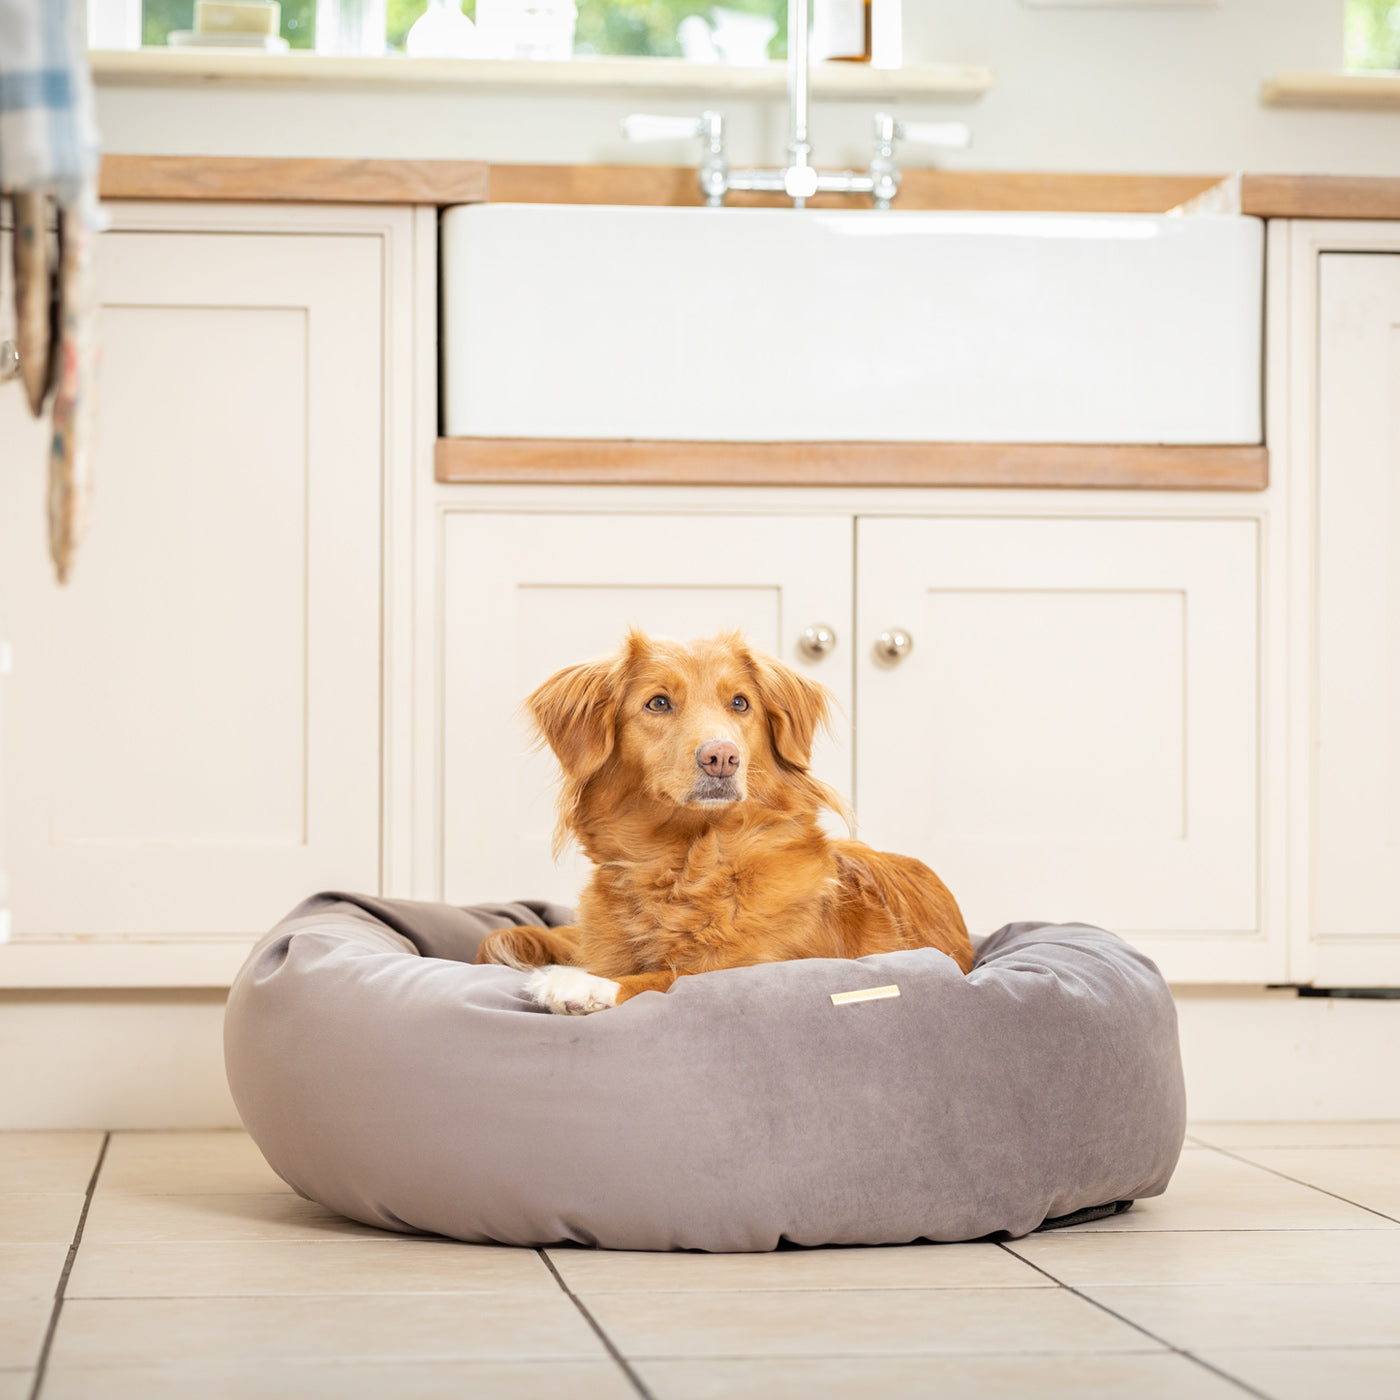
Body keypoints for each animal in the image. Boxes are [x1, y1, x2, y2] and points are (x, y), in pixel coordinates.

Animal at [476, 630, 968, 1013]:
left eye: (740, 703)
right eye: (658, 703)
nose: (722, 757)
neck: (682, 861)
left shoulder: (768, 965)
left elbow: (673, 976)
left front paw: (583, 984)